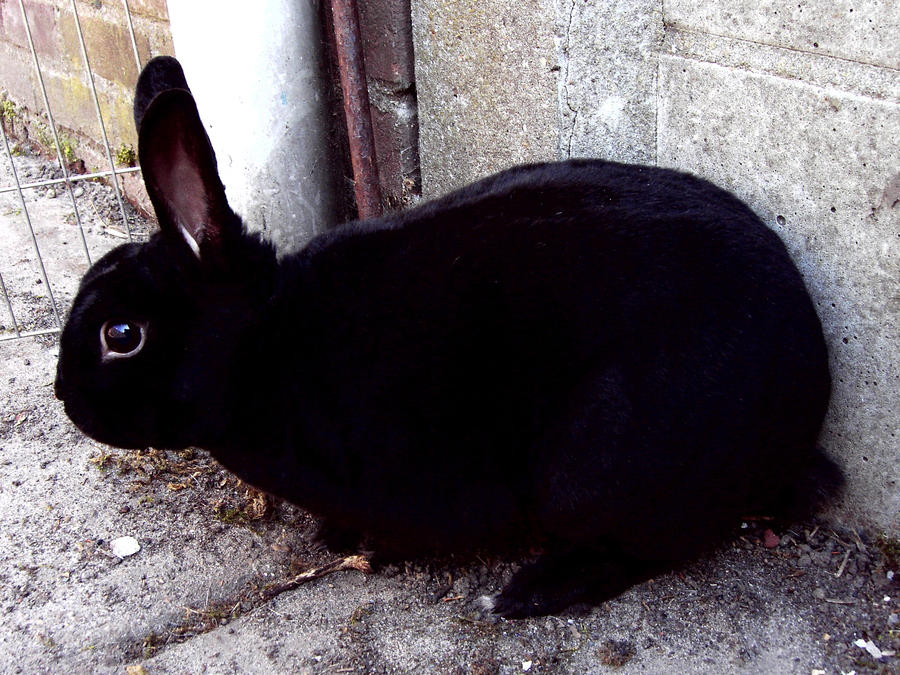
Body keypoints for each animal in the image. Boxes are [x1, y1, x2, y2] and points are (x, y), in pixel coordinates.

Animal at [55, 56, 841, 618]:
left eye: (121, 334)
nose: (64, 397)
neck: (263, 348)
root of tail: (807, 392)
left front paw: (357, 544)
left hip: (600, 473)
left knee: (649, 547)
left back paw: (528, 593)